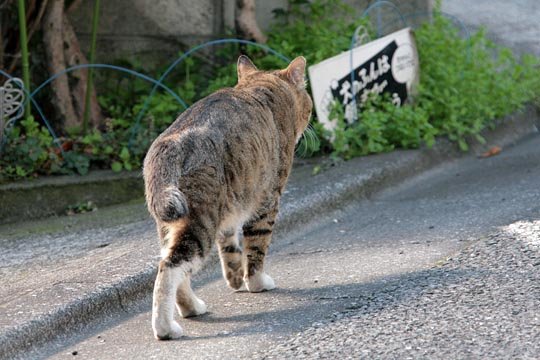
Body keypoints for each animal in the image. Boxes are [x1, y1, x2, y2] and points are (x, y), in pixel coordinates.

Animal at [143, 54, 312, 340]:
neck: (261, 87)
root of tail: (170, 143)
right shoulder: (267, 200)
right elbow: (256, 248)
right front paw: (257, 283)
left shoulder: (235, 202)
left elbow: (231, 245)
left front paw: (235, 278)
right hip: (200, 218)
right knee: (170, 267)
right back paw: (165, 328)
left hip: (172, 218)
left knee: (173, 264)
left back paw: (192, 308)